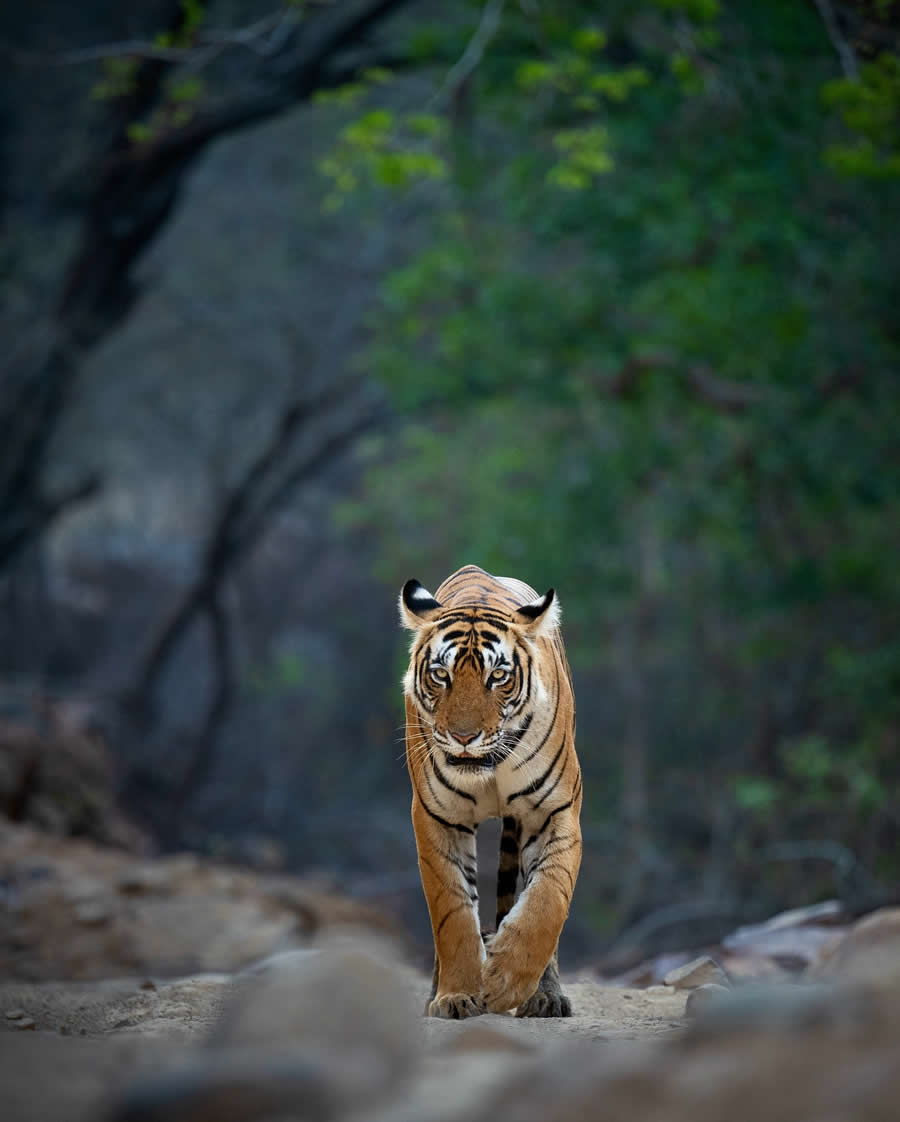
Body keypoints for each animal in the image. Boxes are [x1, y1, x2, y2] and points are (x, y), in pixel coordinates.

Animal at [397, 561, 579, 1018]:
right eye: (440, 674)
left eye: (498, 676)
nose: (463, 737)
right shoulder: (437, 818)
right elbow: (453, 914)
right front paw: (457, 995)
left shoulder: (554, 812)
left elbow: (547, 901)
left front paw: (504, 982)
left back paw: (546, 996)